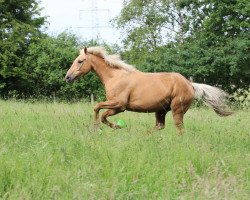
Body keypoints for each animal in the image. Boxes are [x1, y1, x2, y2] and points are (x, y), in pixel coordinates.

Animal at [64, 46, 232, 134]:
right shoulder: (117, 107)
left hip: (177, 109)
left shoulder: (119, 105)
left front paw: (101, 127)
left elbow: (98, 108)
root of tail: (190, 84)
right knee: (160, 126)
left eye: (80, 61)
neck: (115, 77)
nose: (67, 77)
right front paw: (113, 126)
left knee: (179, 128)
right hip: (161, 110)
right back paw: (145, 135)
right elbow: (101, 113)